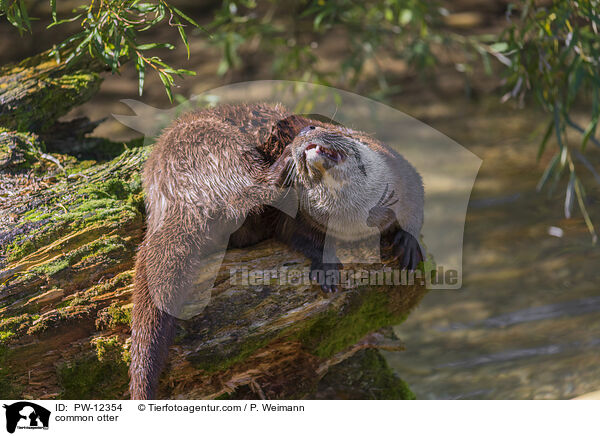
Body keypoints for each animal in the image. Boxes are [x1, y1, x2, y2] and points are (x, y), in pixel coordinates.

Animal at [129, 102, 424, 398]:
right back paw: (280, 165)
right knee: (246, 187)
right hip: (211, 142)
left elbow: (415, 202)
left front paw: (408, 243)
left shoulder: (402, 171)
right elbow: (294, 234)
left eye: (328, 129)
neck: (355, 219)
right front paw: (326, 266)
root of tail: (168, 192)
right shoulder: (297, 216)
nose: (307, 129)